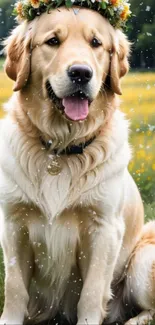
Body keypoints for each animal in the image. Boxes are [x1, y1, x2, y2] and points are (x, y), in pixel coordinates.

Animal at [0, 5, 154, 324]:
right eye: (52, 41)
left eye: (96, 43)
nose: (81, 73)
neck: (61, 150)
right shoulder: (13, 224)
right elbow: (15, 288)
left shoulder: (104, 229)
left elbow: (91, 294)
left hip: (144, 260)